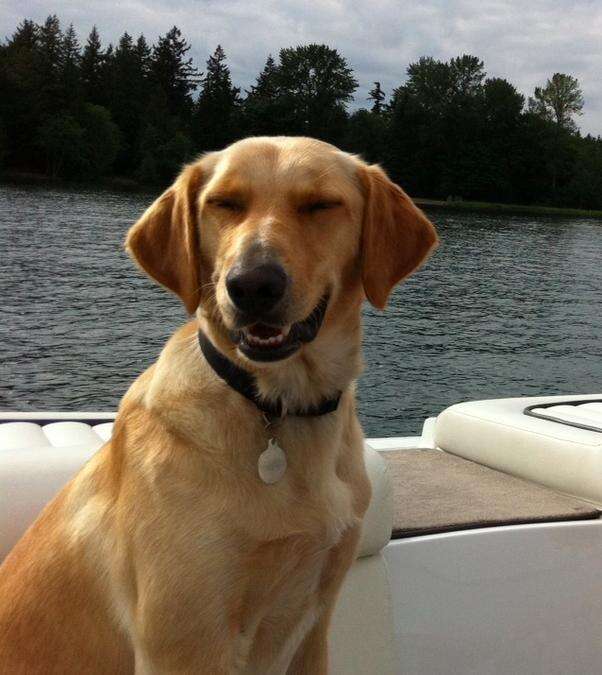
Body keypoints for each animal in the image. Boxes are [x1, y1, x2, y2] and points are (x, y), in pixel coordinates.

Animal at [0, 135, 436, 672]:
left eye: (320, 205)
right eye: (224, 203)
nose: (252, 284)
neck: (277, 406)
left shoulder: (315, 625)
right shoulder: (184, 643)